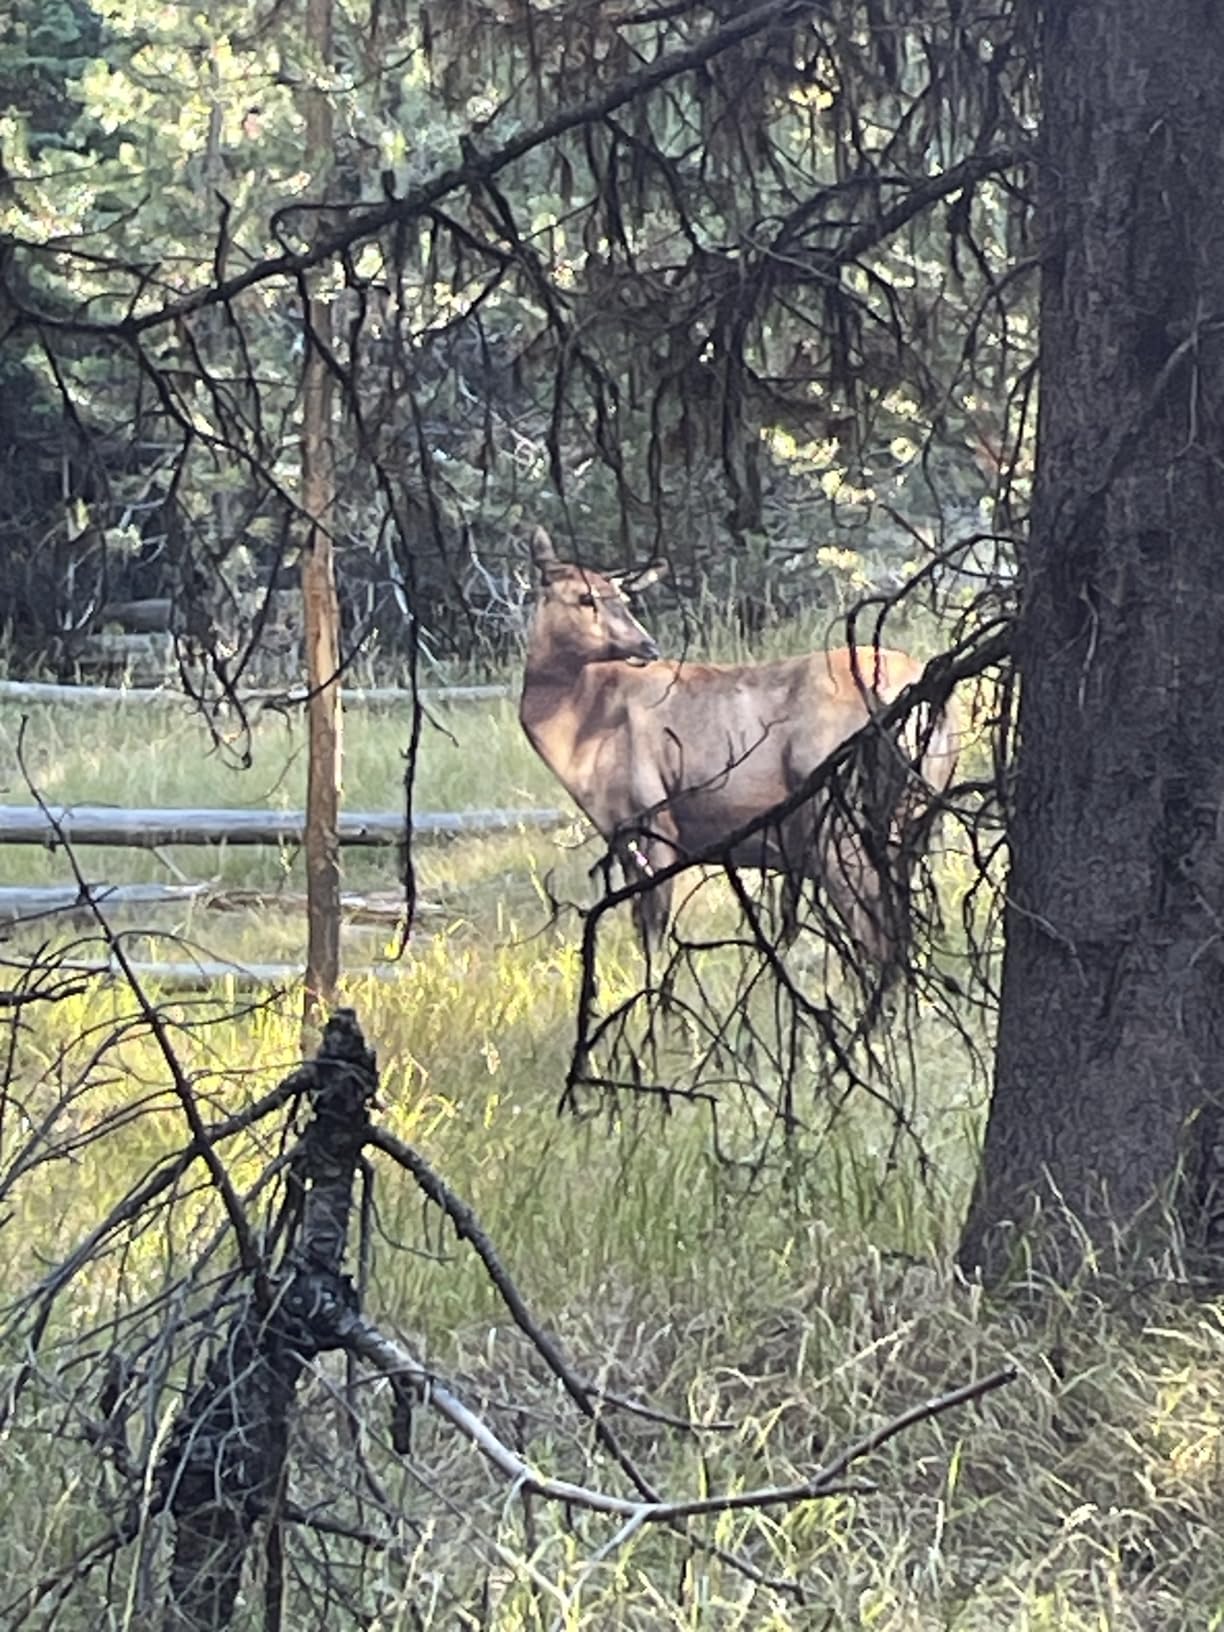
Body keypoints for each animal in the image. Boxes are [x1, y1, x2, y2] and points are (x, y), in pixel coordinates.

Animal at [518, 527, 960, 974]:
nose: (648, 646)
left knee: (875, 927)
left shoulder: (650, 815)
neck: (579, 725)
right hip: (918, 811)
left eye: (619, 598)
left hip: (837, 815)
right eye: (584, 597)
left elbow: (652, 930)